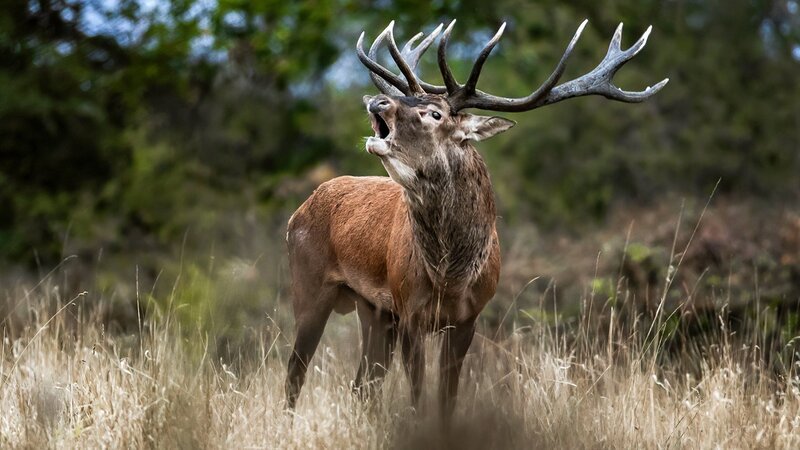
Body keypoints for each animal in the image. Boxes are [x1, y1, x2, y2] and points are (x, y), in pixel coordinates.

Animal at [285, 18, 667, 417]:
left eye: (435, 113)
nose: (377, 100)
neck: (450, 278)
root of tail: (299, 210)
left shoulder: (467, 319)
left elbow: (447, 398)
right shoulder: (410, 313)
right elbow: (419, 396)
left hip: (373, 310)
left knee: (360, 385)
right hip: (309, 287)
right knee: (295, 373)